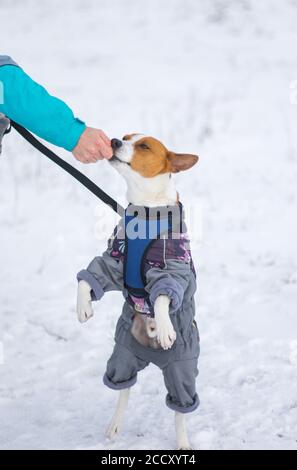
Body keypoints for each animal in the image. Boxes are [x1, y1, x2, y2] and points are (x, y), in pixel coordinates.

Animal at [76, 134, 199, 450]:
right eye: (125, 137)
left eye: (144, 146)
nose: (113, 140)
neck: (146, 211)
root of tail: (154, 358)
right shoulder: (114, 259)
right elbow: (89, 278)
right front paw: (83, 307)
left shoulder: (171, 266)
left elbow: (164, 296)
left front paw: (166, 328)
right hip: (123, 355)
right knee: (123, 389)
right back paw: (115, 425)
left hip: (182, 367)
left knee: (181, 407)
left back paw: (183, 442)